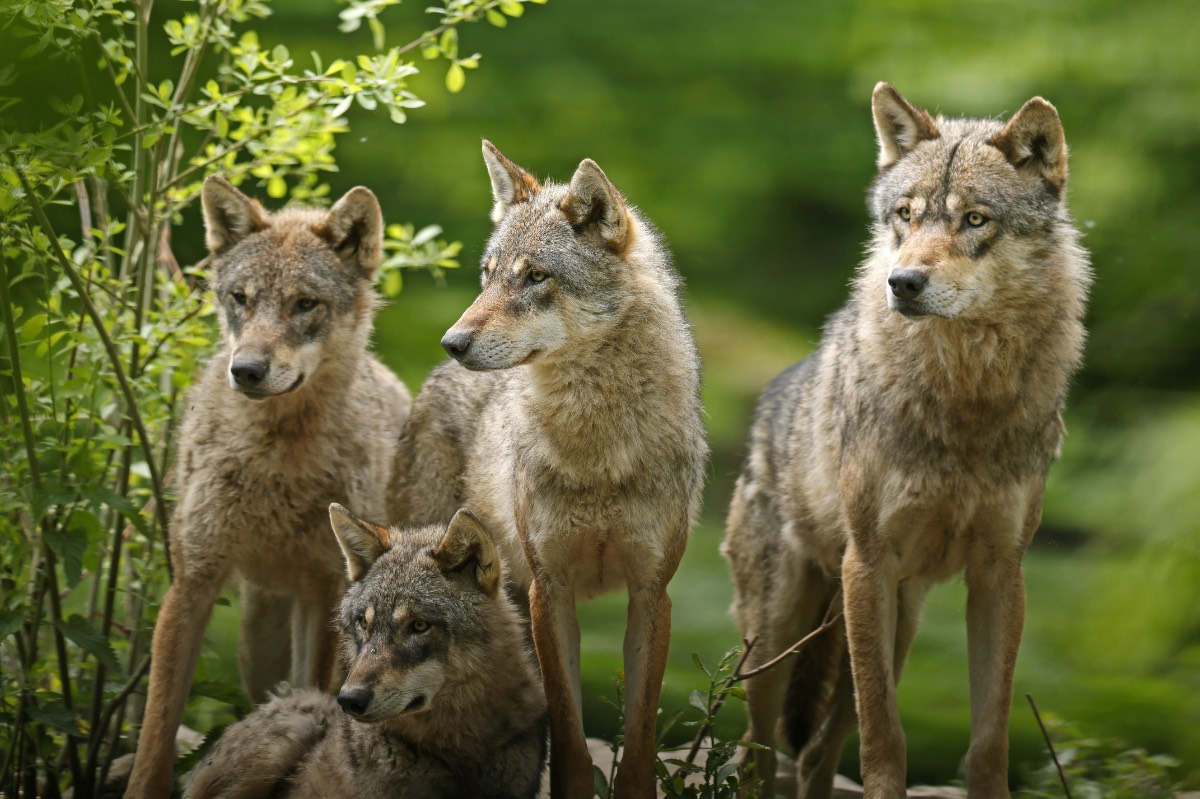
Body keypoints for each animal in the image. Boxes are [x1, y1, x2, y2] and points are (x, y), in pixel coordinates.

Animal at [125, 177, 412, 798]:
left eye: (304, 303)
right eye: (241, 298)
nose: (247, 370)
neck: (276, 461)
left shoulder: (326, 592)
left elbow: (319, 695)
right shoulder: (193, 582)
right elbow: (156, 729)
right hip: (256, 646)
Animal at [387, 142, 708, 798]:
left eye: (536, 276)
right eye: (487, 276)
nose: (452, 340)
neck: (599, 451)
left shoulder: (651, 592)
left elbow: (638, 739)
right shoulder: (549, 588)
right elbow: (568, 733)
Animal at [722, 82, 1091, 799]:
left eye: (974, 220)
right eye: (904, 215)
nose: (904, 282)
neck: (965, 401)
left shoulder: (1000, 575)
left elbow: (989, 738)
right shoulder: (868, 563)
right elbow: (885, 734)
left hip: (900, 622)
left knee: (814, 753)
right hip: (779, 632)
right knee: (758, 752)